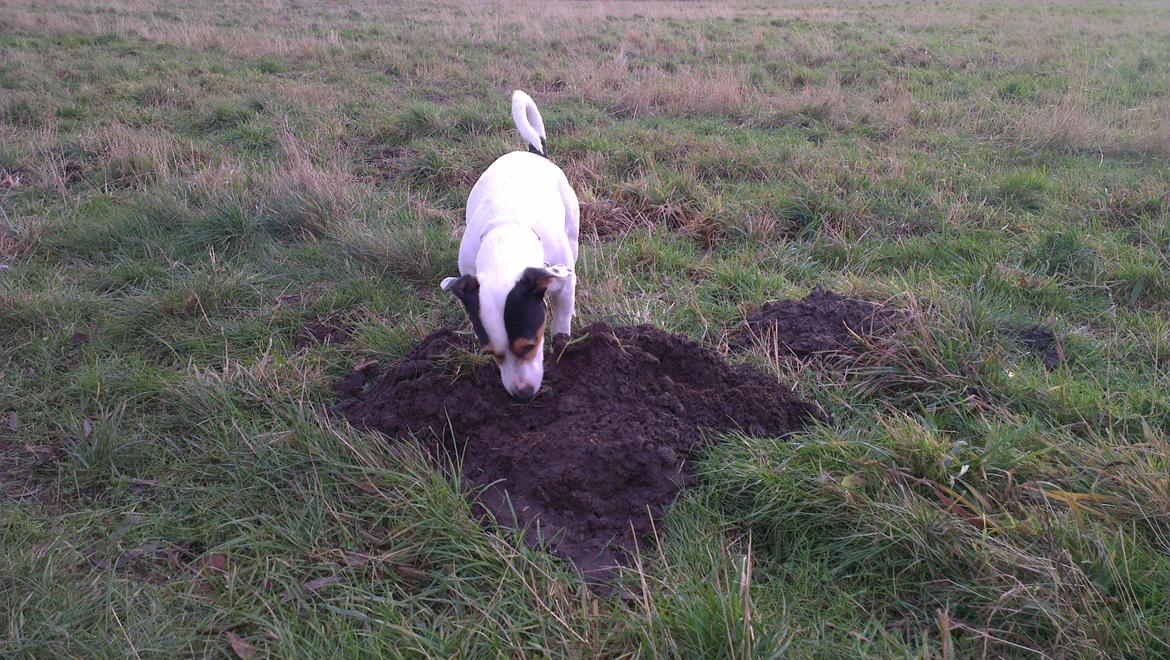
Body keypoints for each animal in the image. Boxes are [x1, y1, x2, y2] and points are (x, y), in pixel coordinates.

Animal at [439, 89, 580, 400]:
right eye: (491, 353)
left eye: (529, 345)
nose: (523, 395)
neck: (506, 233)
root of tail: (532, 152)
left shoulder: (563, 279)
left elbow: (562, 321)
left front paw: (560, 345)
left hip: (573, 230)